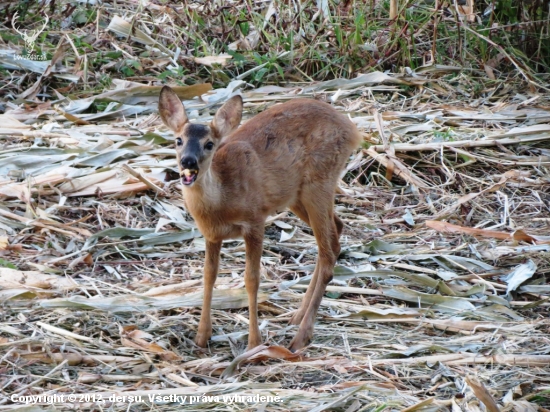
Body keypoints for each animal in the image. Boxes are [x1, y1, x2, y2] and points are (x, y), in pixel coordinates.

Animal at [160, 87, 362, 350]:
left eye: (209, 144)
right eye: (178, 140)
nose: (188, 161)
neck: (223, 200)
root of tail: (352, 130)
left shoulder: (255, 221)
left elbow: (252, 279)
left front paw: (254, 343)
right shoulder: (211, 234)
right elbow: (208, 276)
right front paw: (202, 336)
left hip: (319, 182)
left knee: (328, 253)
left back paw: (300, 338)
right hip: (296, 195)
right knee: (335, 233)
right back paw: (296, 317)